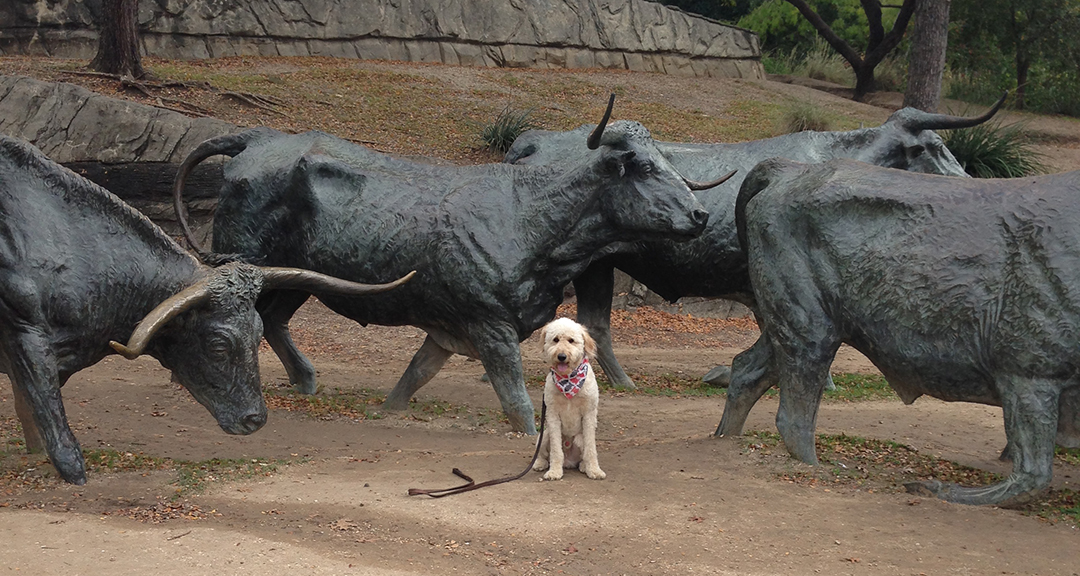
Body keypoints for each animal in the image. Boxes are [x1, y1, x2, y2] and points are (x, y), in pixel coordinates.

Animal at [533, 317, 604, 477]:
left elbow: (591, 449)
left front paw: (594, 470)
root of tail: (569, 462)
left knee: (583, 455)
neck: (568, 381)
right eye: (555, 339)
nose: (561, 356)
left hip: (579, 438)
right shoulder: (552, 414)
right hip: (543, 435)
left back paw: (584, 466)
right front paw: (554, 471)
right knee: (543, 454)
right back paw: (540, 463)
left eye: (571, 340)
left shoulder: (589, 414)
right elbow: (555, 450)